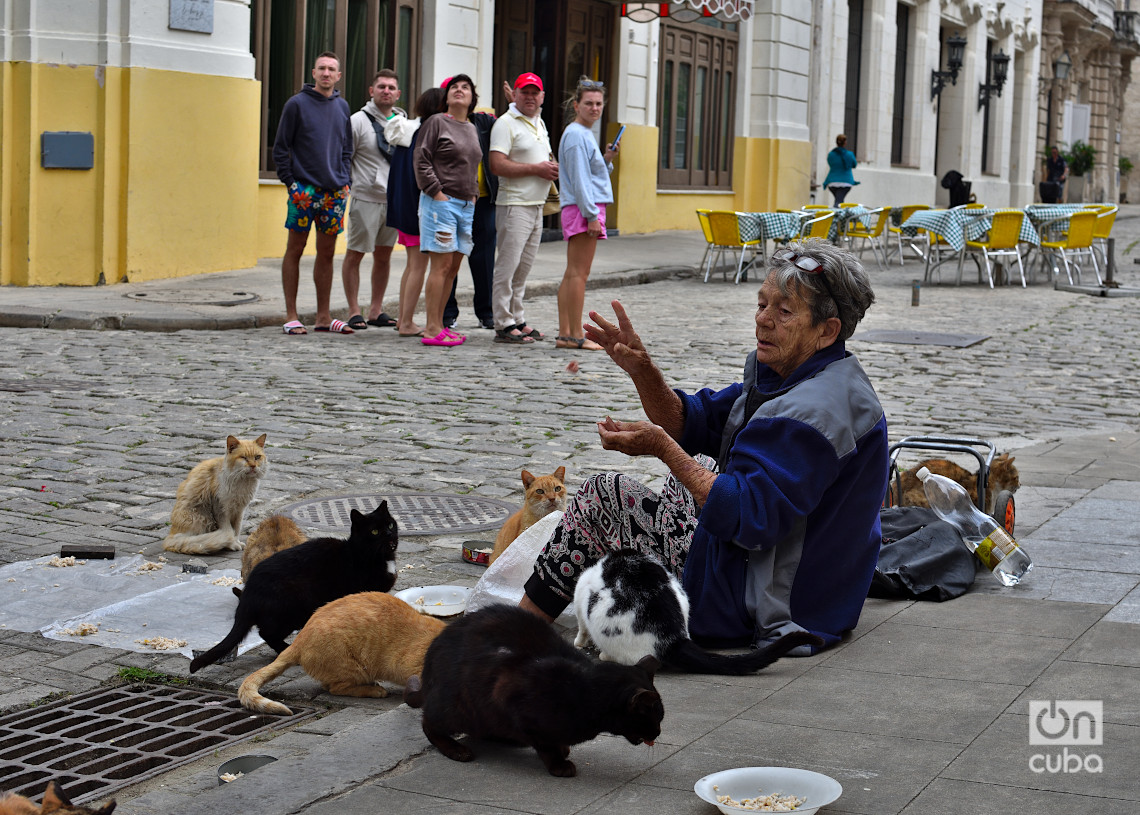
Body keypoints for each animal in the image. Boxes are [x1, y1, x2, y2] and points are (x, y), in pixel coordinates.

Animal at [186, 503, 396, 674]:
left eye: (391, 525)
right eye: (375, 531)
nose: (389, 535)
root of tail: (247, 596)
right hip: (294, 609)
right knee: (266, 632)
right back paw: (286, 649)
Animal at [403, 606, 665, 779]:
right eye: (655, 717)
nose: (659, 732)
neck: (588, 694)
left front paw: (563, 748)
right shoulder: (511, 697)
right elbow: (545, 744)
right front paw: (559, 763)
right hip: (458, 706)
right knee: (429, 722)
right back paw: (456, 749)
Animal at [574, 551, 825, 679]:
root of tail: (674, 639)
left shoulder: (580, 591)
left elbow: (581, 628)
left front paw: (578, 643)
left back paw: (605, 655)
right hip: (682, 594)